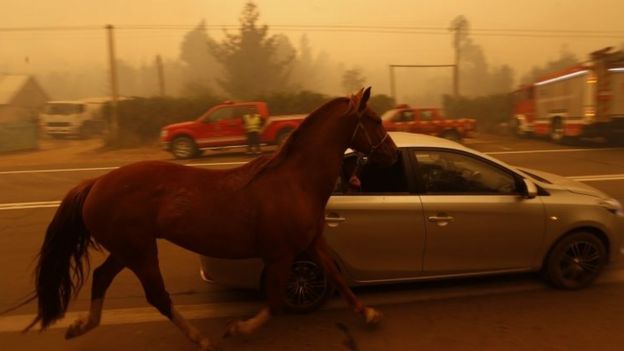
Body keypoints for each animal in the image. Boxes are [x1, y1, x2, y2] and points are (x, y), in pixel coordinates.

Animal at [24, 86, 398, 350]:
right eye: (375, 119)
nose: (392, 153)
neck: (295, 181)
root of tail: (96, 183)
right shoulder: (281, 254)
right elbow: (275, 301)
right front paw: (239, 328)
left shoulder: (312, 241)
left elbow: (336, 276)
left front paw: (369, 313)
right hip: (140, 251)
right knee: (157, 297)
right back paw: (199, 338)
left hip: (127, 249)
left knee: (101, 278)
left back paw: (80, 326)